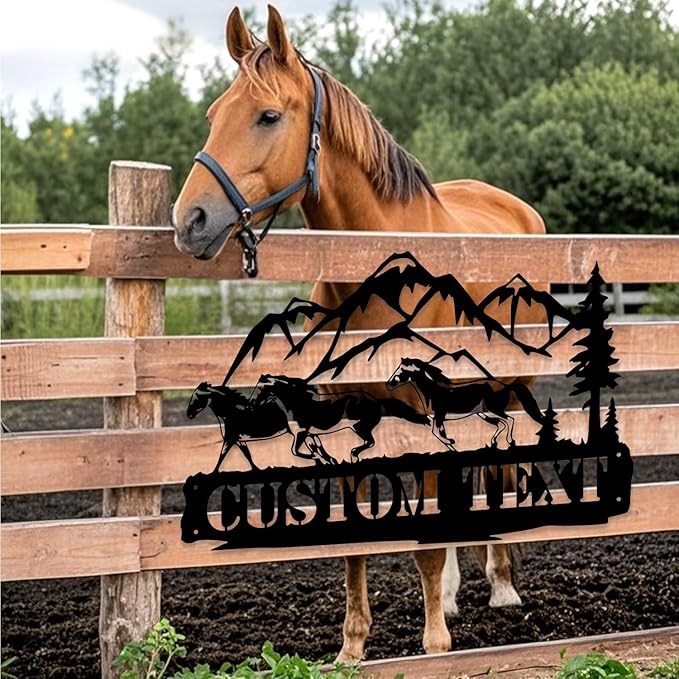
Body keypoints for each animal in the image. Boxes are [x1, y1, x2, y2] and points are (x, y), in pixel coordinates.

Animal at [387, 358, 544, 449]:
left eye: (402, 370)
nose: (389, 384)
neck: (434, 391)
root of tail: (505, 385)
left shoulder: (439, 416)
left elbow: (437, 433)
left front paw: (450, 441)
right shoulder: (437, 419)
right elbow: (439, 434)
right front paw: (450, 443)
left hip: (494, 409)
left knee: (509, 420)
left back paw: (510, 440)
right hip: (483, 413)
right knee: (501, 423)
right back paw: (494, 442)